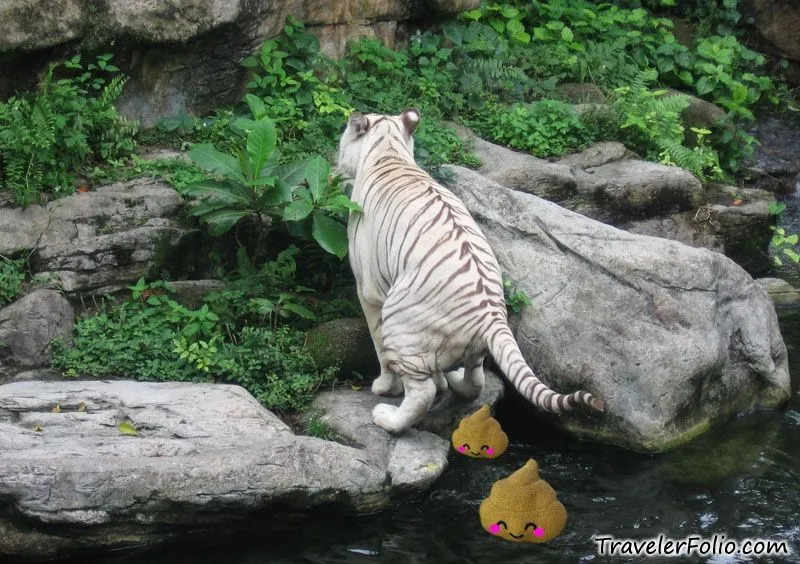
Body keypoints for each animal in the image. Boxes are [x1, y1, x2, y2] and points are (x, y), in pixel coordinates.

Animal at [334, 110, 604, 434]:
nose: (335, 162)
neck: (389, 151)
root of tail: (492, 316)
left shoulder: (370, 291)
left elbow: (379, 347)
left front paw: (384, 386)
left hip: (401, 323)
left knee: (422, 392)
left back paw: (388, 418)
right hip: (472, 347)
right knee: (476, 380)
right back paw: (452, 380)